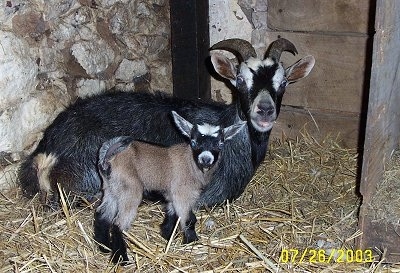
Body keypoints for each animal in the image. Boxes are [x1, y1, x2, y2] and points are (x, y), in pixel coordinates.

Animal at [95, 111, 245, 264]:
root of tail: (108, 158)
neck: (190, 163)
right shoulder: (182, 194)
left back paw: (104, 247)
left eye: (220, 144)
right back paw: (121, 259)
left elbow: (172, 214)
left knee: (102, 214)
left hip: (112, 189)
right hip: (130, 190)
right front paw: (191, 242)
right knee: (117, 224)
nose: (206, 160)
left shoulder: (172, 194)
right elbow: (189, 219)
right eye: (193, 142)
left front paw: (167, 235)